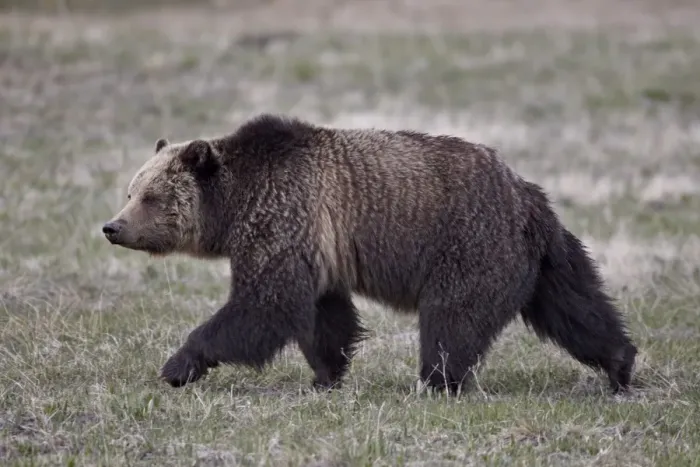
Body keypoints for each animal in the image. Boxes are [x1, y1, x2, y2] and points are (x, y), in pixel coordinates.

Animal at [102, 113, 638, 395]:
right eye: (130, 190)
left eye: (151, 196)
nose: (112, 226)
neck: (235, 203)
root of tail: (528, 198)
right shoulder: (317, 246)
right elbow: (324, 316)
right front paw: (326, 375)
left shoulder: (282, 218)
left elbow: (265, 304)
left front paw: (179, 364)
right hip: (546, 261)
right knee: (577, 309)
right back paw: (619, 364)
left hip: (470, 245)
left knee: (451, 320)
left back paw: (437, 381)